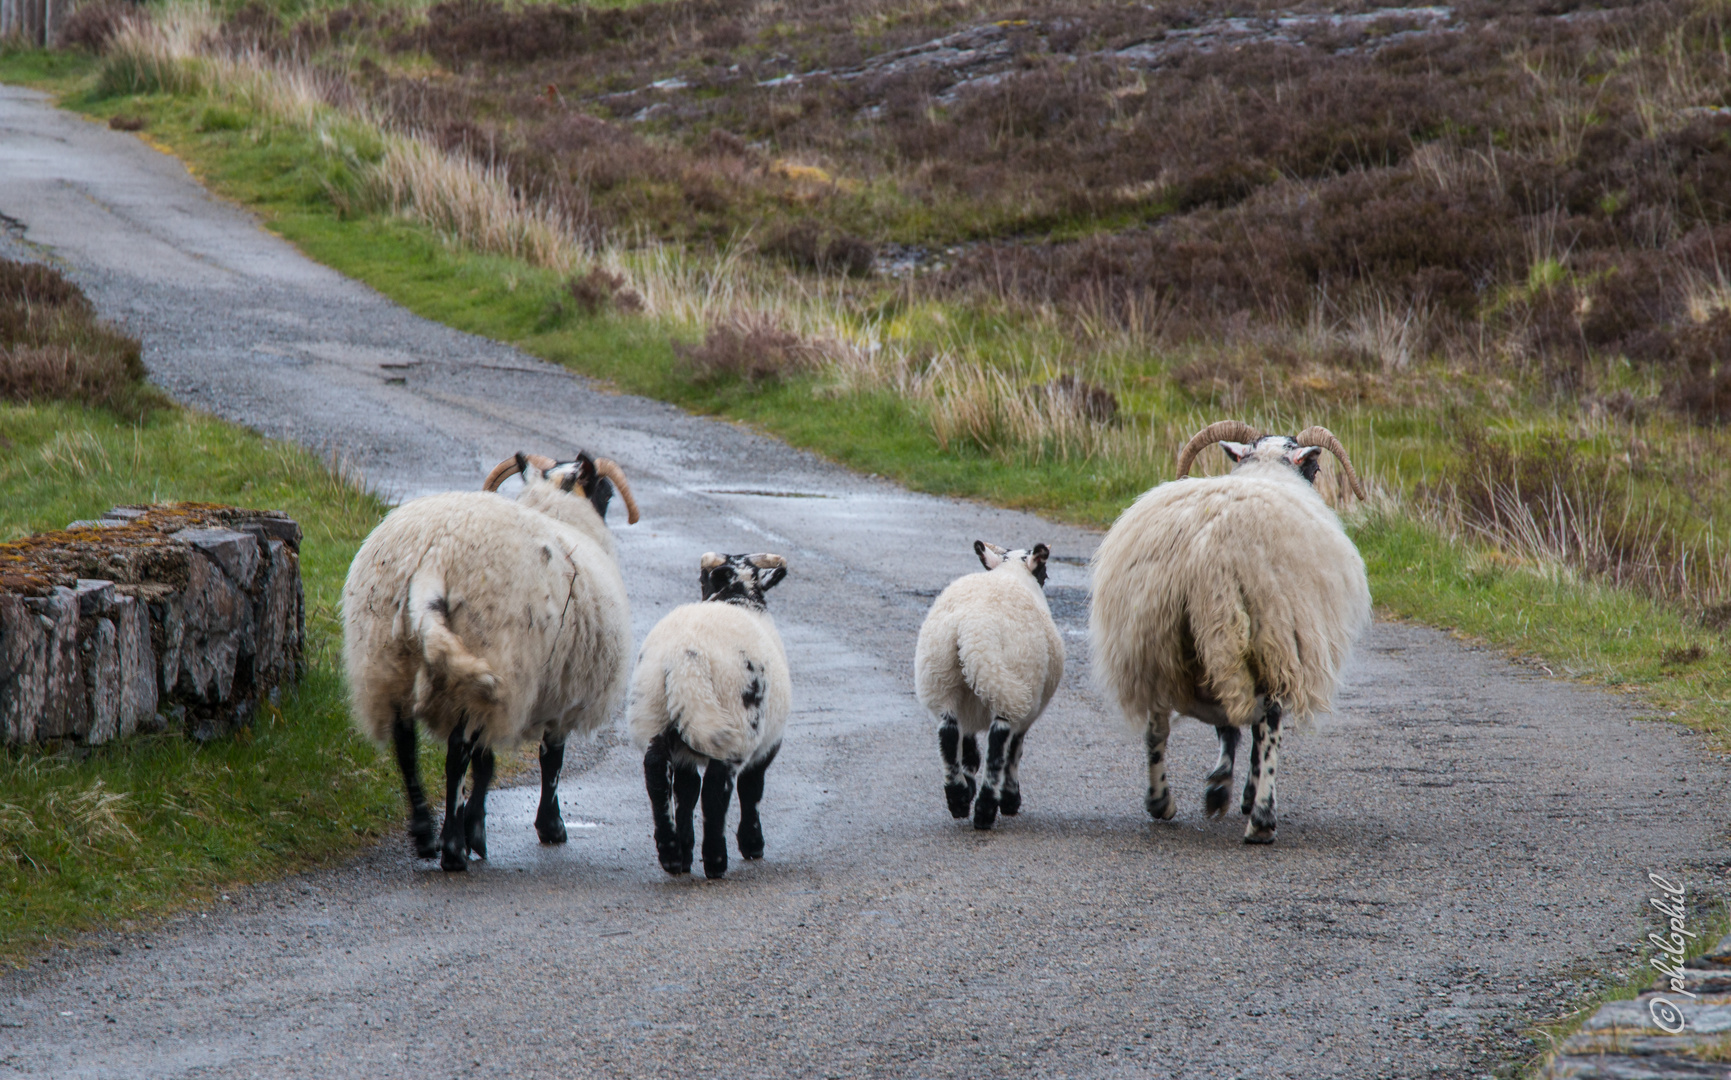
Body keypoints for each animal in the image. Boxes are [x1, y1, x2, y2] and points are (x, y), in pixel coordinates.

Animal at [341, 450, 640, 872]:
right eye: (606, 492)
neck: (562, 512)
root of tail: (436, 553)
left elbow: (487, 763)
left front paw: (477, 827)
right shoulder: (557, 693)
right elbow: (550, 759)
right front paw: (548, 827)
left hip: (385, 657)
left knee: (405, 742)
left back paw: (424, 832)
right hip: (491, 654)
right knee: (456, 754)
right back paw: (452, 848)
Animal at [630, 553, 792, 882]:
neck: (739, 597)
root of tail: (686, 658)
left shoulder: (684, 753)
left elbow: (686, 790)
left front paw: (685, 850)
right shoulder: (769, 743)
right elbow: (752, 788)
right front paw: (752, 844)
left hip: (654, 711)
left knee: (656, 775)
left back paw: (671, 854)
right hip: (737, 719)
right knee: (717, 788)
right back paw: (716, 860)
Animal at [913, 536, 1059, 827]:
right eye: (1045, 574)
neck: (1012, 574)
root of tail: (973, 629)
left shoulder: (968, 707)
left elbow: (968, 748)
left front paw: (967, 784)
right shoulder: (1027, 711)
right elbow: (1014, 751)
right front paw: (1010, 799)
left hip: (941, 677)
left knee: (948, 733)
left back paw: (957, 797)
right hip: (1012, 681)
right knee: (998, 743)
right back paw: (985, 809)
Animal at [1087, 422, 1370, 844]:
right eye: (1316, 469)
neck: (1266, 467)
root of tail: (1207, 556)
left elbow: (1227, 727)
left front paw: (1220, 788)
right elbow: (1252, 729)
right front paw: (1246, 796)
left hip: (1158, 638)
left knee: (1158, 727)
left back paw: (1163, 801)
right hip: (1269, 631)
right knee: (1267, 725)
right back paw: (1262, 820)